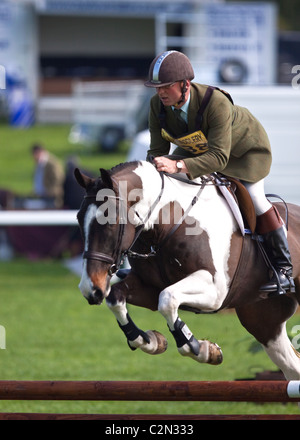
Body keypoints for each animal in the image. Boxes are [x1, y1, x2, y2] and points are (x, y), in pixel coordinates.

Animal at [75, 162, 300, 378]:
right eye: (78, 218)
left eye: (110, 221)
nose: (90, 289)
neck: (166, 225)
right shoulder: (149, 287)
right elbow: (116, 297)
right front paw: (151, 341)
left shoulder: (215, 292)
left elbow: (167, 300)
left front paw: (201, 348)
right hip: (263, 320)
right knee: (291, 367)